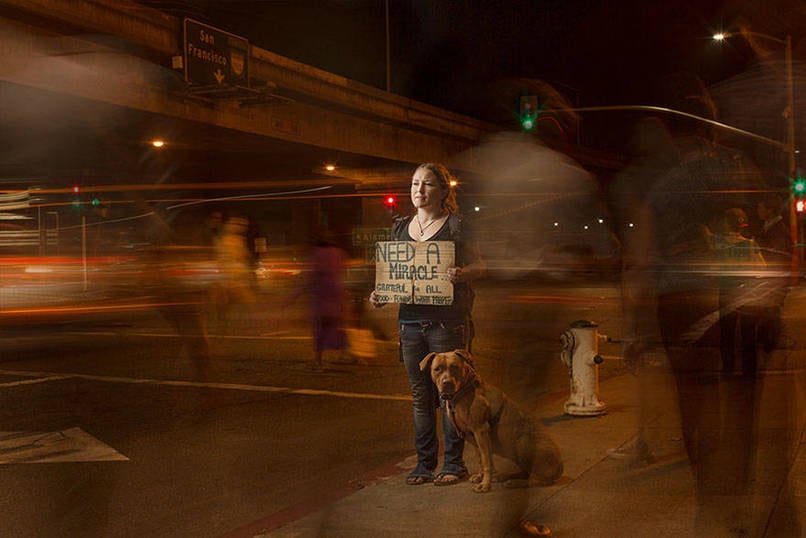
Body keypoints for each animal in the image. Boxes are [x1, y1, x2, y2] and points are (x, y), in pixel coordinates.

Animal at [420, 348, 564, 490]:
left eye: (454, 367)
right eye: (437, 369)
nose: (447, 383)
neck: (463, 392)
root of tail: (560, 467)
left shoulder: (481, 431)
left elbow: (486, 461)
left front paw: (485, 484)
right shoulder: (473, 435)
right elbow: (482, 458)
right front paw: (481, 476)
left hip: (524, 444)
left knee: (537, 479)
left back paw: (515, 483)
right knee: (526, 473)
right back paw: (505, 477)